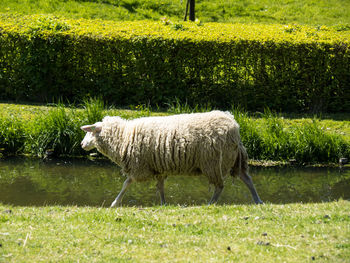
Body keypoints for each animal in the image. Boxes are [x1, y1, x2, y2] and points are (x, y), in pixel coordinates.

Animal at [81, 110, 262, 207]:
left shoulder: (140, 166)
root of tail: (233, 123)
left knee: (220, 186)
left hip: (213, 163)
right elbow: (160, 187)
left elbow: (127, 183)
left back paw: (211, 203)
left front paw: (114, 203)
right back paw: (258, 200)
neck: (124, 136)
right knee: (247, 178)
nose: (82, 144)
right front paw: (163, 203)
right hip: (234, 160)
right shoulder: (158, 168)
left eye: (91, 132)